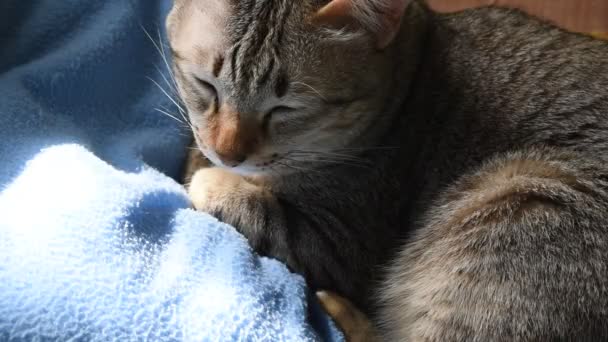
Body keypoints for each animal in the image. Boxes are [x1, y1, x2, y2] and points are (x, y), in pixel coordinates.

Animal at [167, 0, 608, 340]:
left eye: (285, 109)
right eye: (205, 85)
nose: (228, 154)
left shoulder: (341, 245)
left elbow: (259, 210)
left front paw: (213, 179)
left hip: (521, 207)